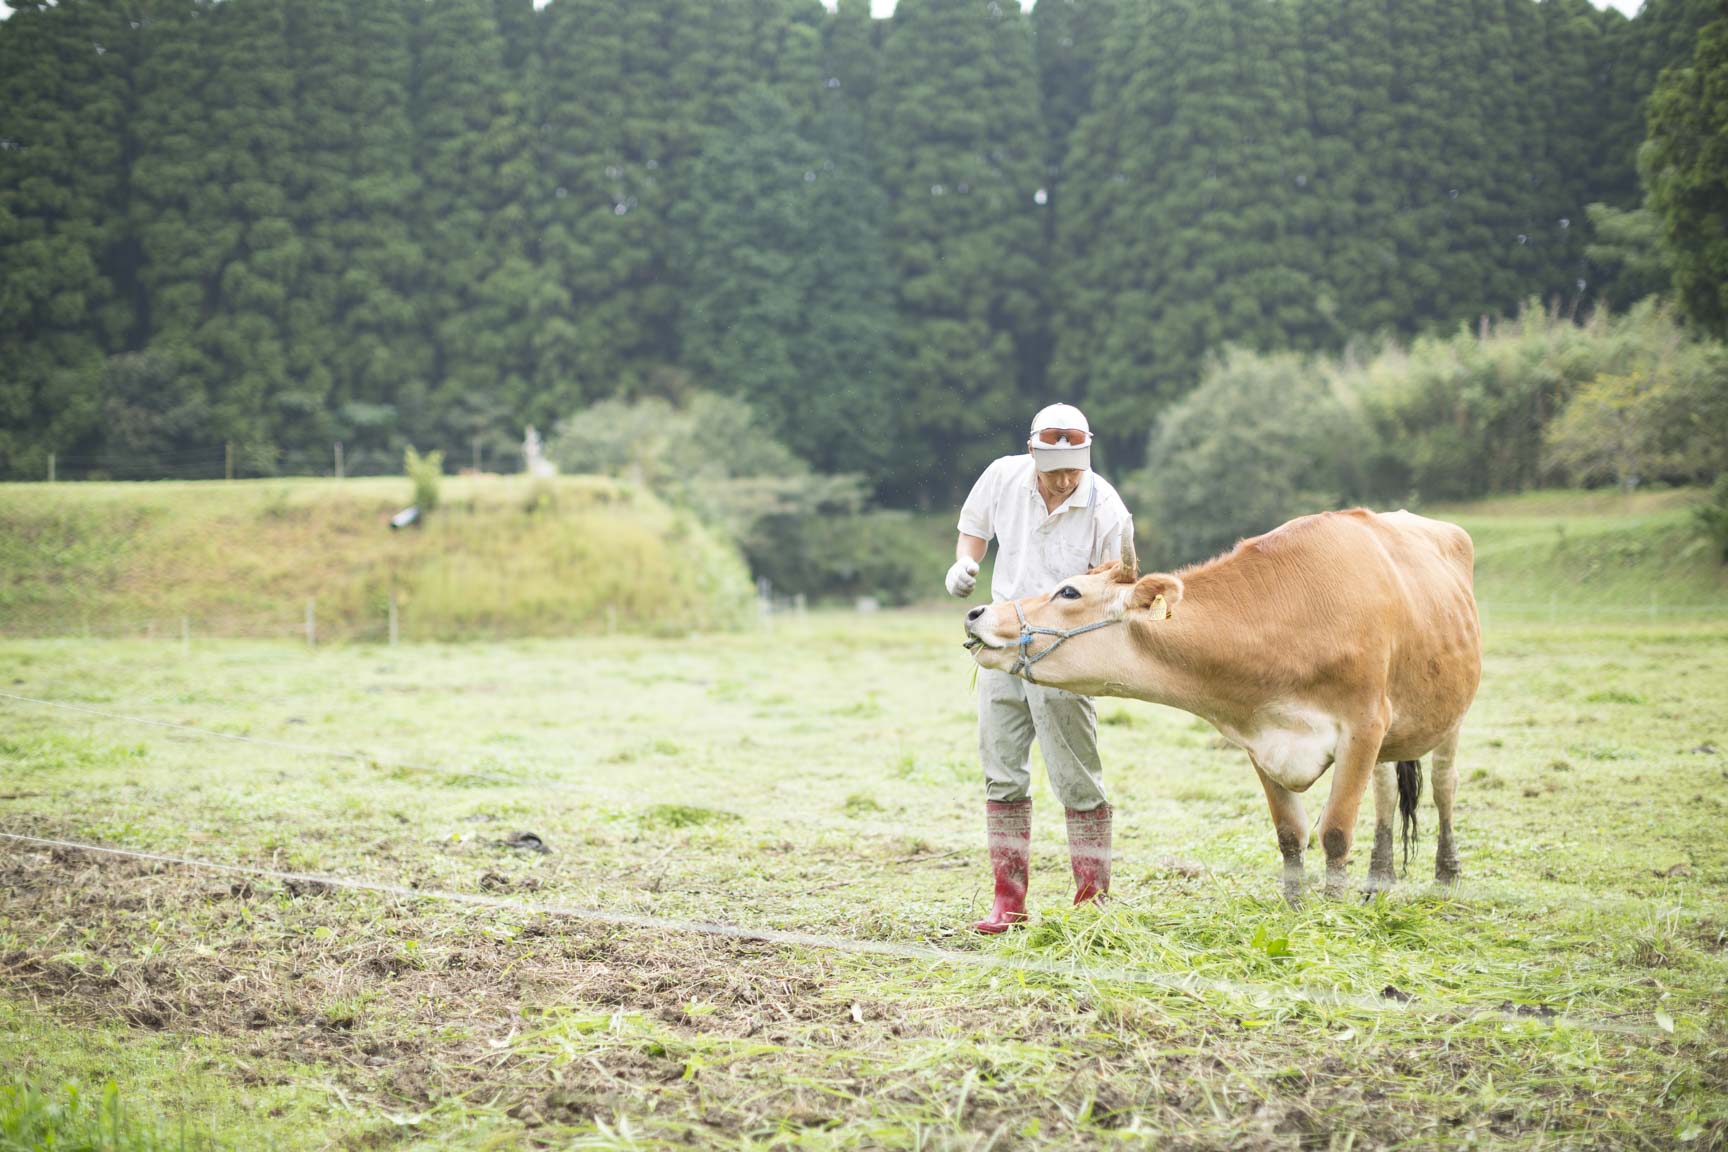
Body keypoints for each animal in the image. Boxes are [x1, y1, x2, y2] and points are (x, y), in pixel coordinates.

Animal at [967, 507, 1479, 905]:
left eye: (1069, 591)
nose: (976, 613)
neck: (1288, 626)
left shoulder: (1363, 726)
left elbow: (1334, 830)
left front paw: (1332, 911)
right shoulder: (1263, 739)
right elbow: (1290, 833)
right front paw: (1295, 906)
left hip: (1449, 717)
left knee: (1444, 785)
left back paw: (1446, 875)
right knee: (1386, 793)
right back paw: (1379, 879)